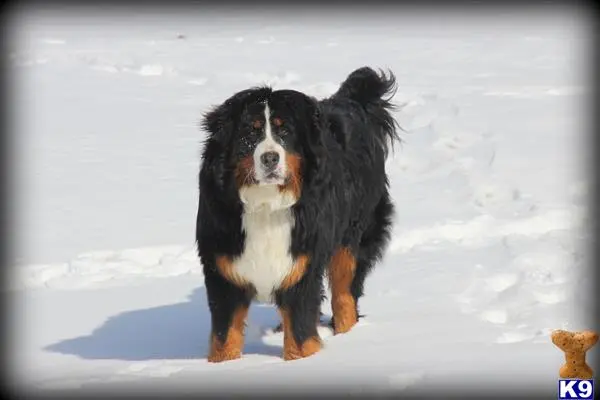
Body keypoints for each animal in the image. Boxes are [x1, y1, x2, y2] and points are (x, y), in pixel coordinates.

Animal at [197, 66, 400, 362]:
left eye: (285, 131)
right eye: (250, 134)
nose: (270, 158)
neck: (266, 204)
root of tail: (348, 102)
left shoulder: (302, 265)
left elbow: (301, 333)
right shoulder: (224, 268)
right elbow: (224, 338)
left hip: (354, 237)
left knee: (345, 294)